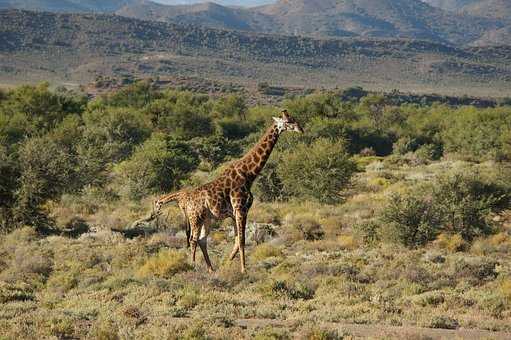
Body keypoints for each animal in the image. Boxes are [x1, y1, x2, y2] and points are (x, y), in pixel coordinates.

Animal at [152, 110, 304, 272]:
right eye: (288, 122)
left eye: (294, 119)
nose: (301, 129)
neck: (249, 174)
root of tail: (186, 203)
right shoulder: (241, 209)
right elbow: (242, 240)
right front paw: (243, 270)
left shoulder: (235, 213)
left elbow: (237, 241)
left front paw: (227, 264)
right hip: (195, 217)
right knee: (193, 239)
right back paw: (193, 266)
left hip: (206, 218)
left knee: (202, 240)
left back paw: (211, 269)